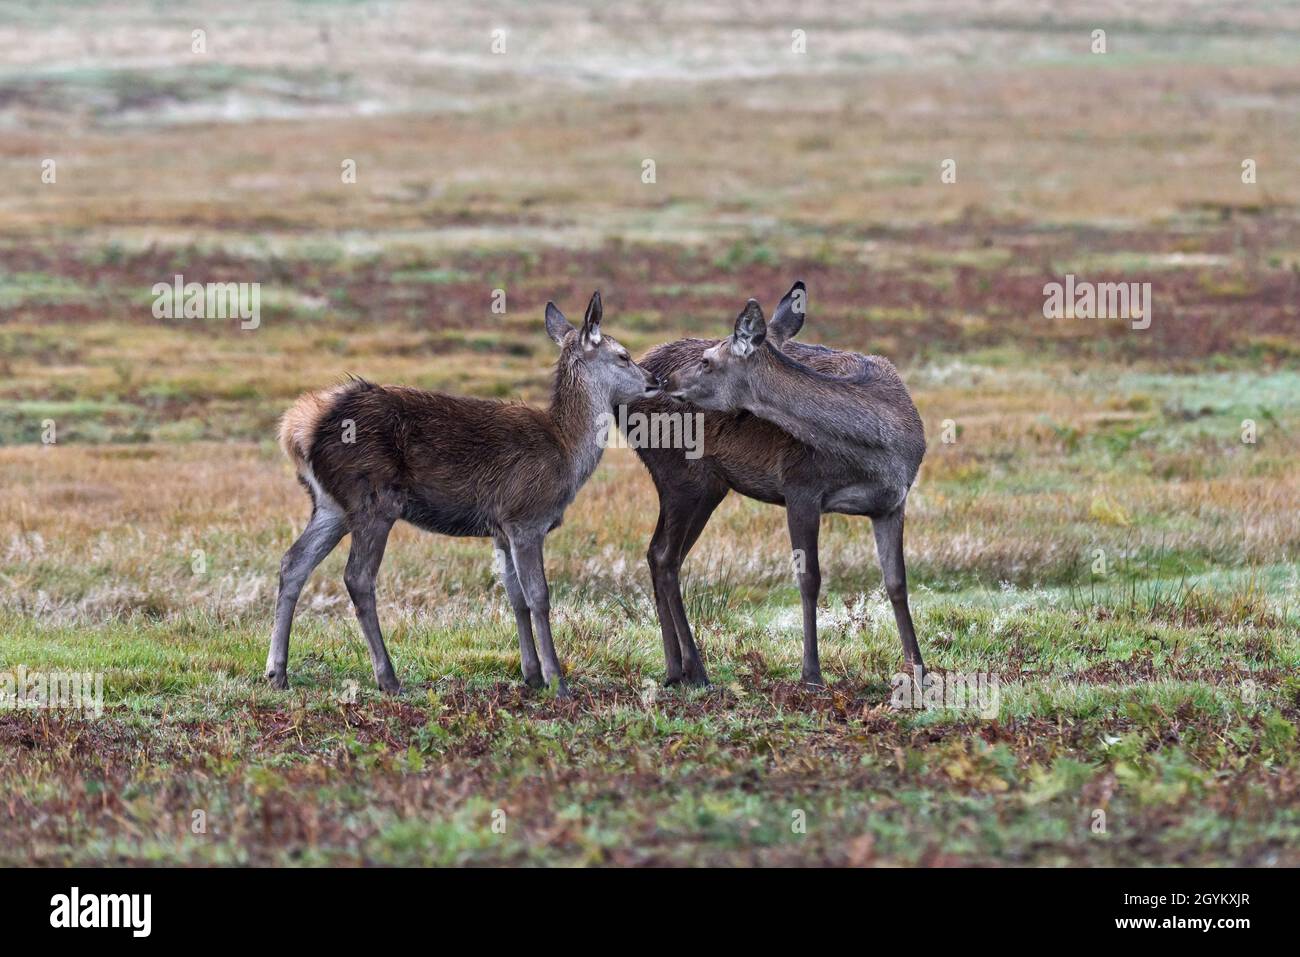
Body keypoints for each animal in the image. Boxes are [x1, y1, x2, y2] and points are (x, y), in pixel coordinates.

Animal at [265, 292, 660, 697]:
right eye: (624, 355)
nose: (655, 379)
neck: (566, 453)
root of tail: (298, 430)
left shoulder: (500, 528)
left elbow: (515, 597)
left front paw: (531, 674)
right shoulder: (526, 516)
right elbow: (538, 596)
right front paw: (557, 681)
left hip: (330, 504)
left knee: (293, 562)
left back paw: (277, 672)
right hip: (373, 498)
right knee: (357, 576)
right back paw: (388, 677)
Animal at [630, 282, 926, 688]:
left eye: (707, 361)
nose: (665, 381)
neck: (881, 452)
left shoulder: (893, 502)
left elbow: (897, 583)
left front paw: (918, 669)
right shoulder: (800, 486)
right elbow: (810, 579)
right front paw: (812, 674)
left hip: (705, 486)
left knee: (660, 554)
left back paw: (678, 670)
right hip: (682, 476)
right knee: (664, 555)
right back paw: (696, 671)